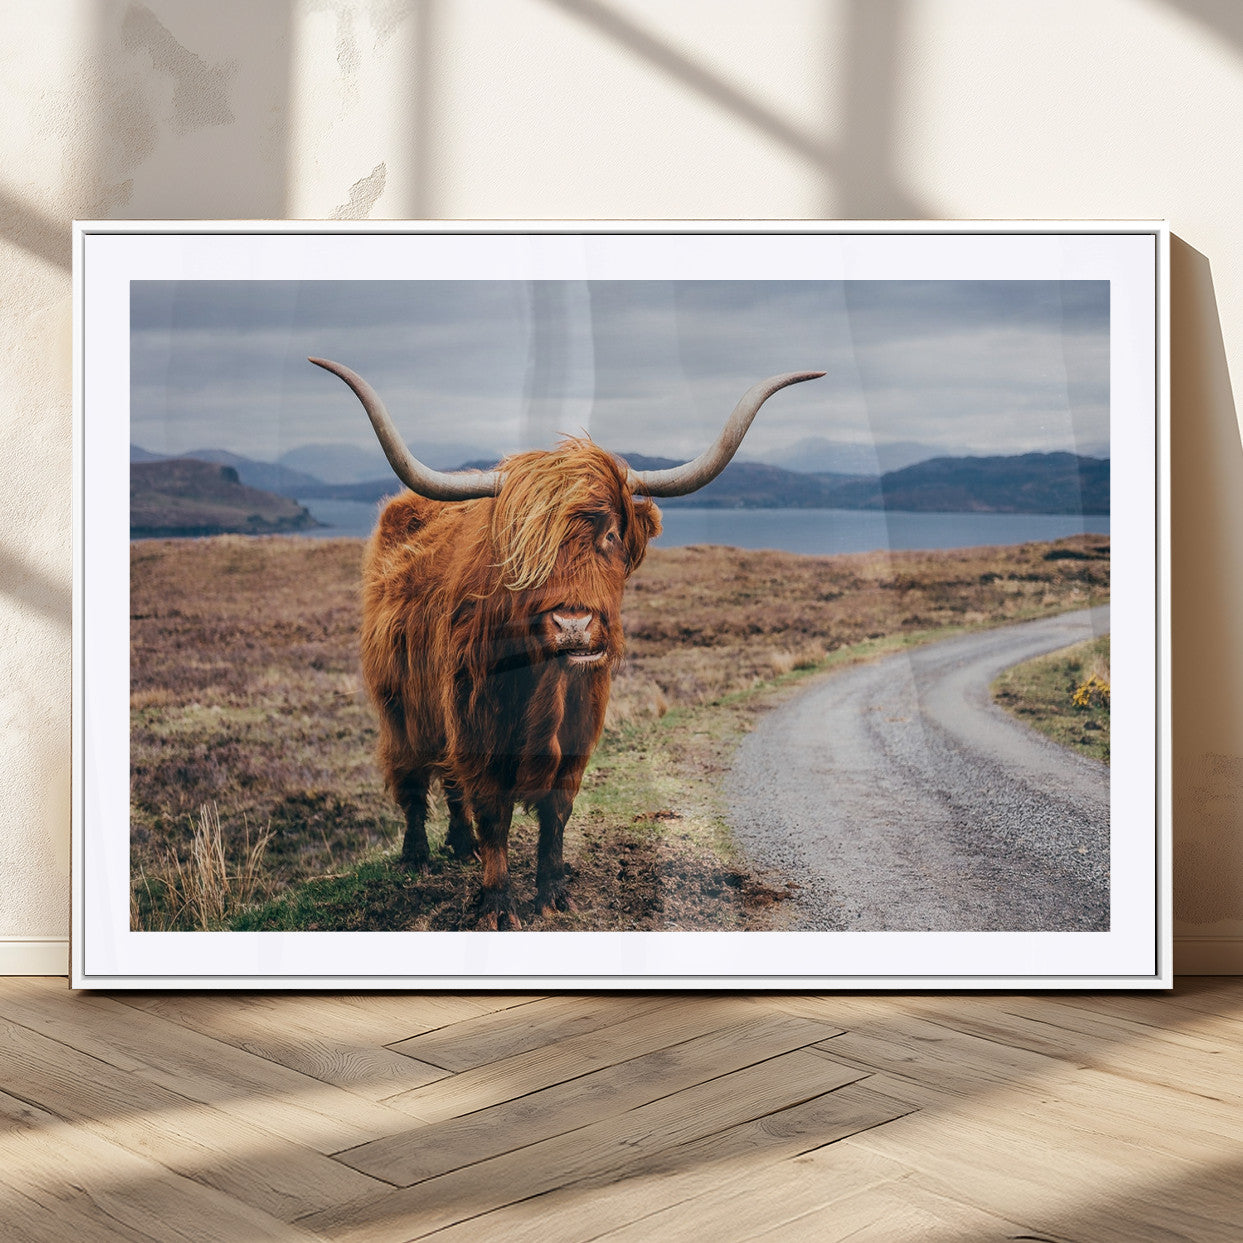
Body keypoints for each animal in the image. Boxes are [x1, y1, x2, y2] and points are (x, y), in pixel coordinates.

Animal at [310, 357, 823, 928]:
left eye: (612, 535)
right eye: (524, 545)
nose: (573, 624)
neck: (546, 686)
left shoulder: (577, 735)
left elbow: (555, 815)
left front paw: (553, 893)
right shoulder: (477, 727)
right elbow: (494, 814)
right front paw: (497, 903)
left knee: (449, 785)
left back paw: (460, 846)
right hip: (400, 704)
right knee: (414, 779)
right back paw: (418, 855)